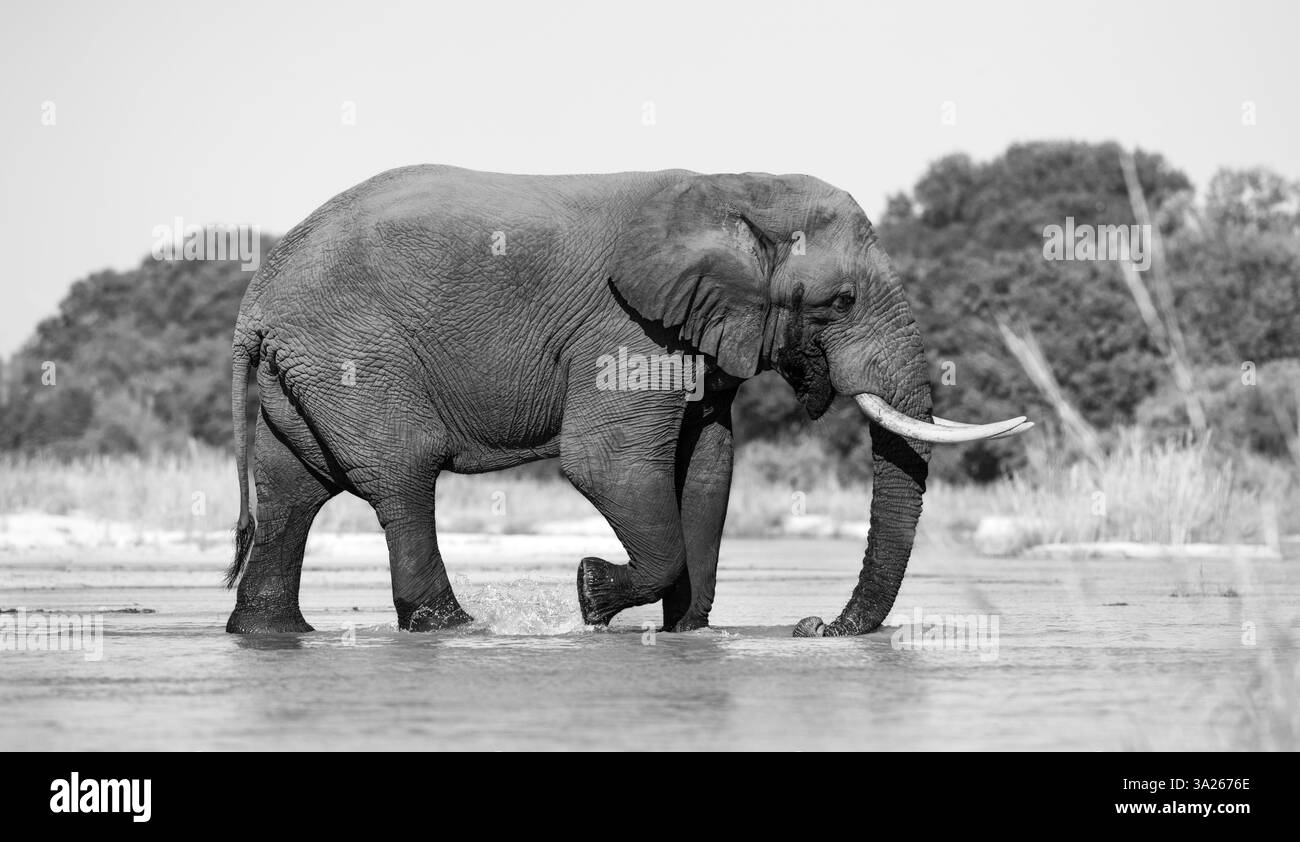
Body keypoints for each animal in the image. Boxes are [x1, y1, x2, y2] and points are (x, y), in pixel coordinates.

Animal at [223, 165, 1030, 636]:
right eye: (842, 300)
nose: (813, 627)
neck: (737, 188)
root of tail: (254, 302)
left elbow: (708, 466)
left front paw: (687, 632)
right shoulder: (628, 328)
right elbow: (605, 464)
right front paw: (590, 594)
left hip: (305, 372)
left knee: (292, 491)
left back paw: (270, 634)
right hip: (355, 355)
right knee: (401, 477)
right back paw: (455, 627)